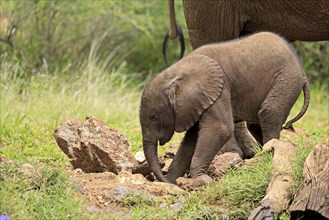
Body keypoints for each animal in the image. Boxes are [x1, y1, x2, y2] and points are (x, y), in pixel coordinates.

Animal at [140, 32, 308, 184]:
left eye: (153, 117)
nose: (161, 177)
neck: (175, 73)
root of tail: (302, 71)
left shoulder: (219, 90)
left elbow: (220, 129)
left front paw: (202, 180)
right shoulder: (197, 103)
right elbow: (191, 138)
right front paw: (171, 181)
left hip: (287, 80)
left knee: (269, 112)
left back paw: (268, 155)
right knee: (256, 123)